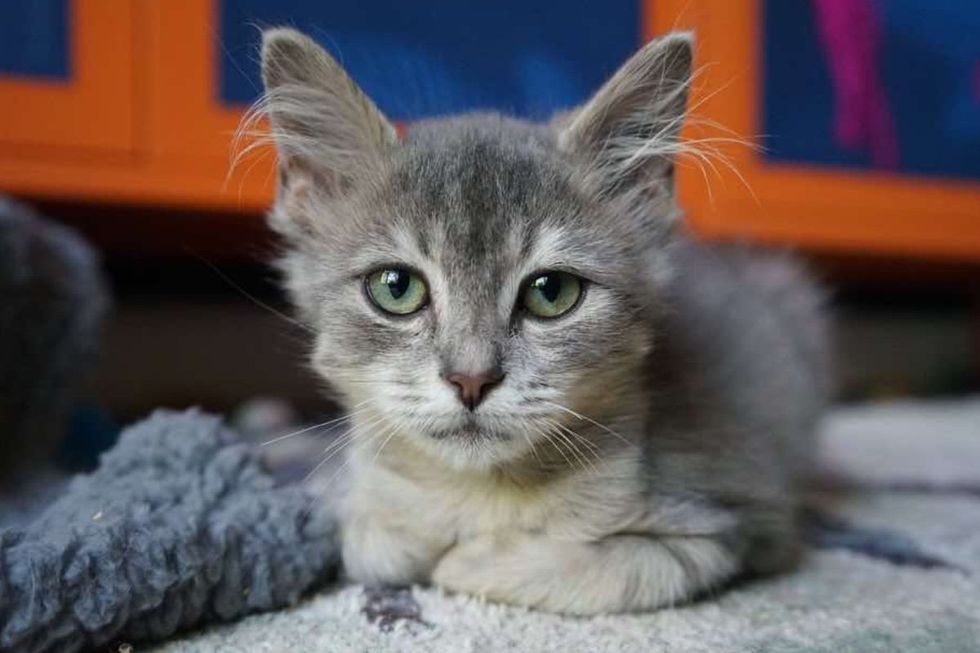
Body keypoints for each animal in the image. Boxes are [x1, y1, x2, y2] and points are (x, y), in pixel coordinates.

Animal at [256, 26, 832, 616]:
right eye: (396, 287)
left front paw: (466, 559)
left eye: (551, 292)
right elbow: (366, 538)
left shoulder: (734, 523)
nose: (471, 379)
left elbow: (596, 570)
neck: (481, 490)